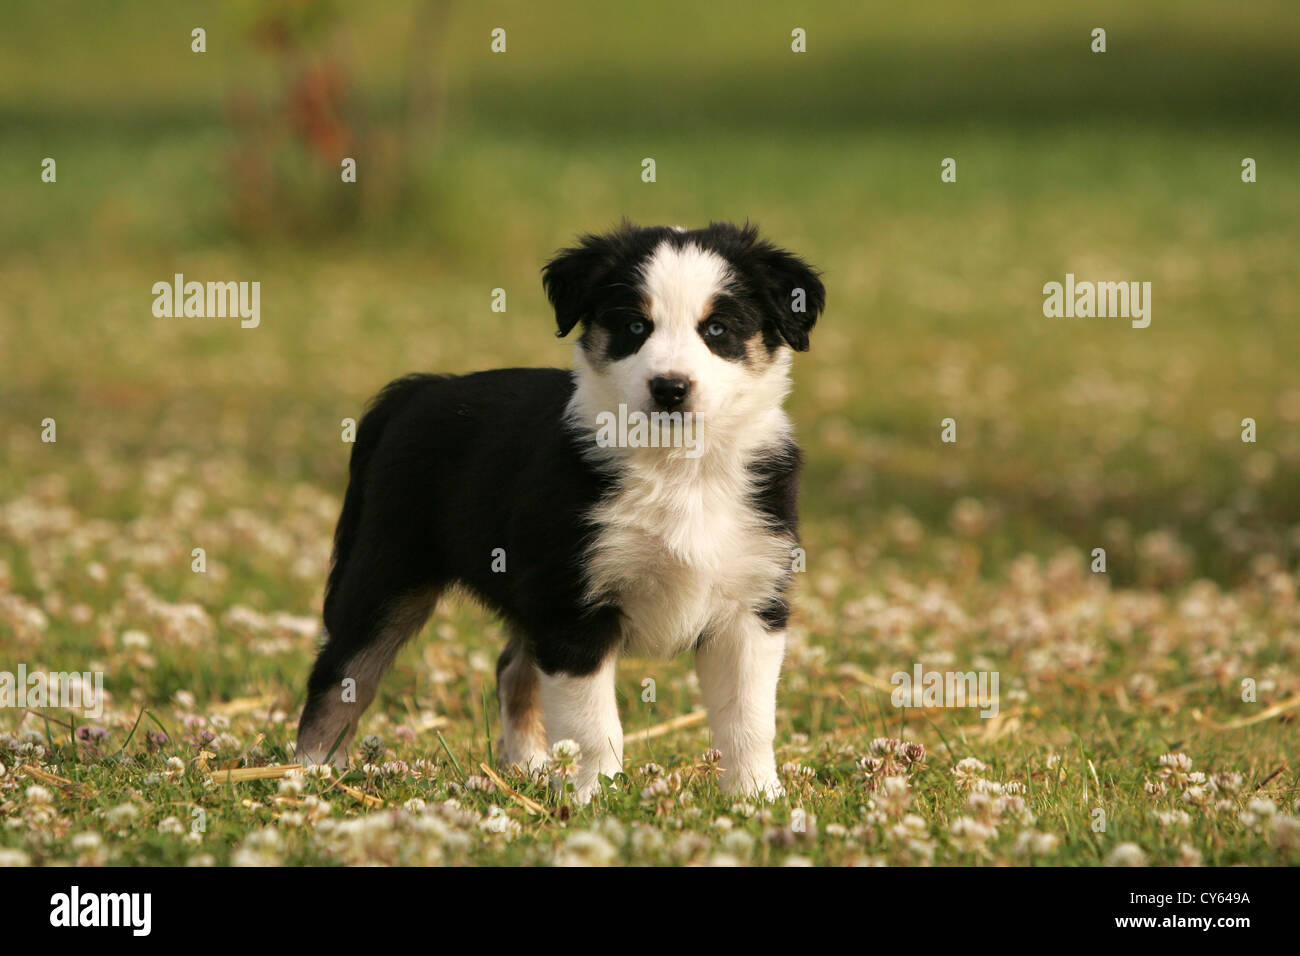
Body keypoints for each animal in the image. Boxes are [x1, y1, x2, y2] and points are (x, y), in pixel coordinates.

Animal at [297, 222, 821, 801]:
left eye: (718, 329)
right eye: (635, 326)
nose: (670, 388)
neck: (678, 468)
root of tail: (421, 388)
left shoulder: (751, 605)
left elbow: (748, 719)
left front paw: (756, 798)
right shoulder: (573, 607)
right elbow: (594, 725)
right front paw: (598, 796)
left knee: (511, 669)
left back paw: (528, 767)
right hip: (389, 568)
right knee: (342, 671)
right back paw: (310, 770)